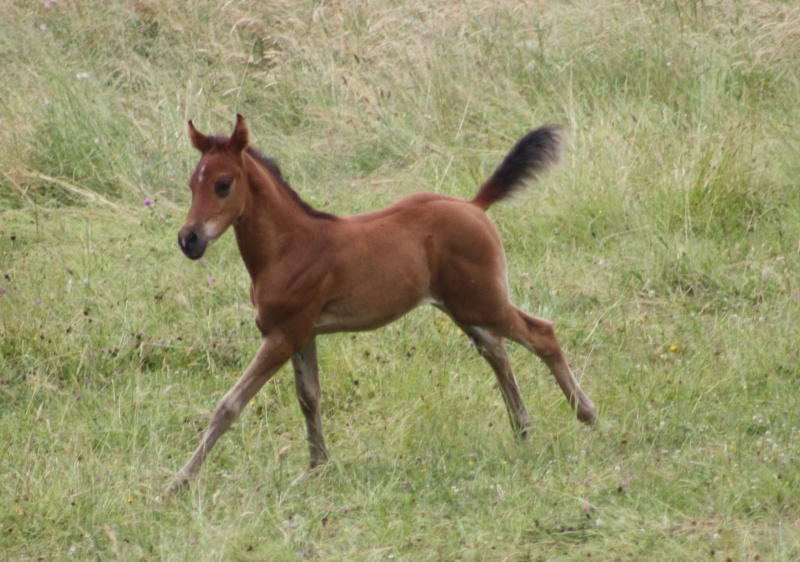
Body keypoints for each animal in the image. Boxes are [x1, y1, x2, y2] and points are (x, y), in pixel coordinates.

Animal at [172, 116, 596, 488]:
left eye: (223, 184)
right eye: (191, 185)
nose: (188, 239)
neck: (289, 246)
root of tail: (474, 205)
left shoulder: (283, 335)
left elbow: (229, 405)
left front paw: (180, 481)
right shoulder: (303, 334)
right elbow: (309, 398)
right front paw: (316, 467)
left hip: (483, 302)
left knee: (541, 333)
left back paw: (586, 413)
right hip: (462, 306)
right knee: (497, 350)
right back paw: (522, 429)